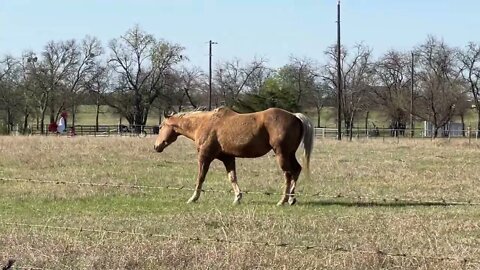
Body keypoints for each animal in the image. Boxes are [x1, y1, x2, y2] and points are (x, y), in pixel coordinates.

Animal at [155, 106, 316, 206]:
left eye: (161, 126)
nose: (157, 146)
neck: (205, 123)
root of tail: (295, 116)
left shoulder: (204, 157)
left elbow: (200, 178)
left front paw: (193, 198)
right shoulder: (228, 158)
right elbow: (232, 178)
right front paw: (237, 198)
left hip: (281, 154)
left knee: (288, 174)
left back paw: (282, 201)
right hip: (290, 154)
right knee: (296, 170)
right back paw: (291, 199)